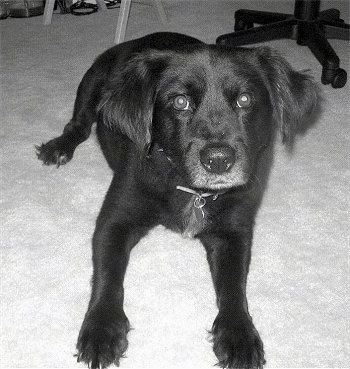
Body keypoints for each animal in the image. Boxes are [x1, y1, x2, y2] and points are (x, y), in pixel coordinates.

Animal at [36, 32, 320, 368]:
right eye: (180, 102)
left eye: (245, 100)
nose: (218, 160)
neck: (190, 189)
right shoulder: (115, 219)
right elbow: (108, 275)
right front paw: (102, 329)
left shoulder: (234, 232)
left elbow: (234, 285)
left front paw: (238, 335)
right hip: (90, 84)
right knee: (78, 125)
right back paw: (58, 147)